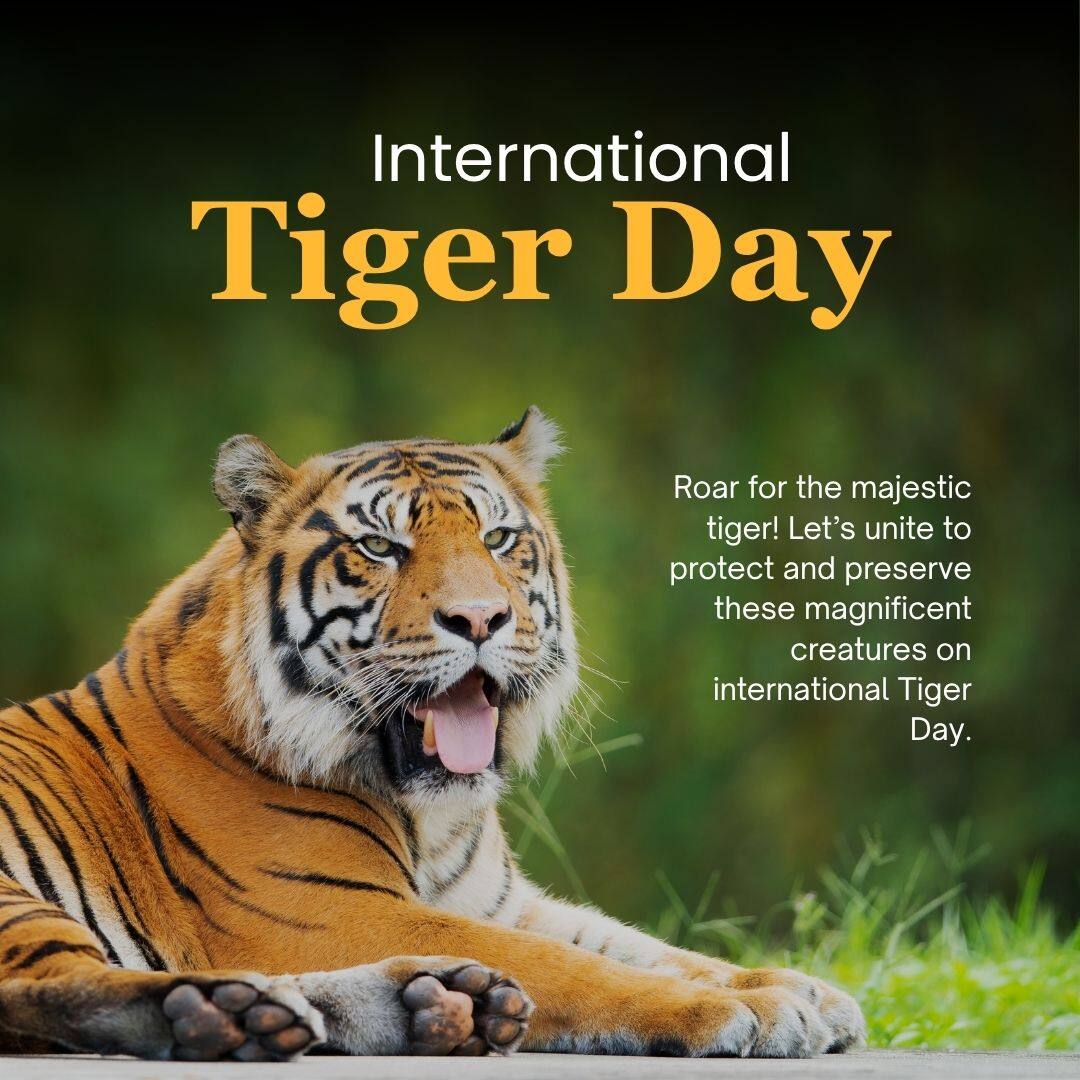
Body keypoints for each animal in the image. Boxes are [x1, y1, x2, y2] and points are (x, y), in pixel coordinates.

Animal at [0, 407, 865, 1061]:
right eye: (381, 547)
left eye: (499, 539)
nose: (480, 618)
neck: (433, 813)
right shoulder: (329, 910)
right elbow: (579, 968)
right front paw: (748, 1010)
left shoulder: (498, 904)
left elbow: (637, 944)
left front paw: (805, 990)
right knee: (40, 989)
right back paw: (230, 1015)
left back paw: (431, 1004)